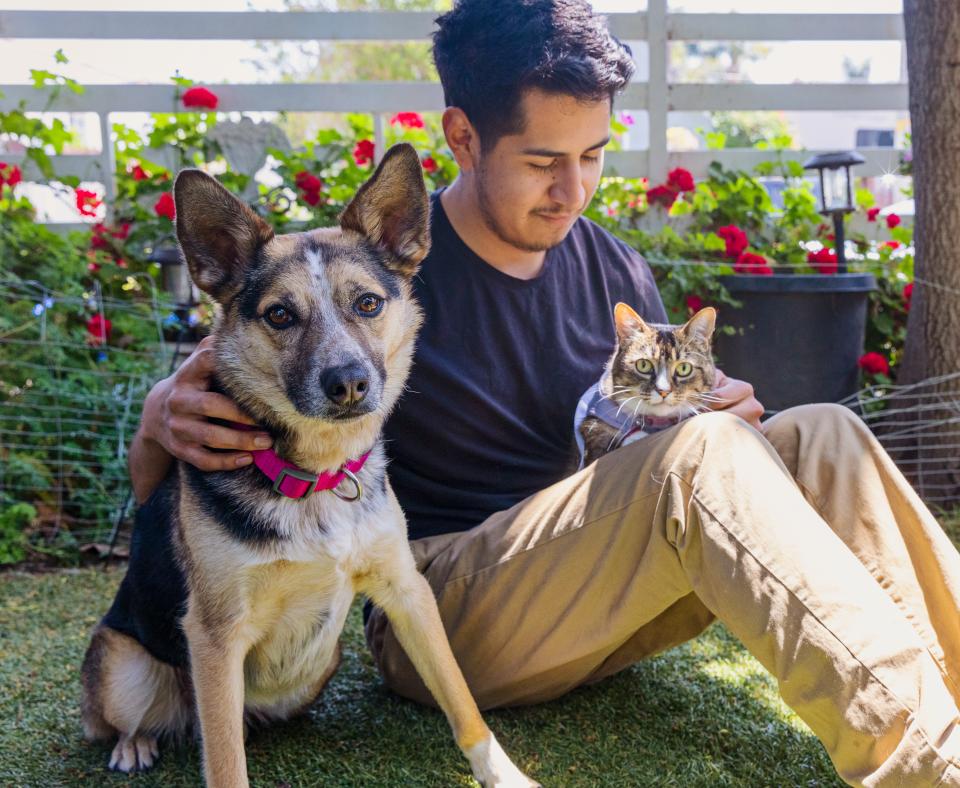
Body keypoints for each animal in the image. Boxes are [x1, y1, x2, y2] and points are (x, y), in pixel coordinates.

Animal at [79, 143, 536, 788]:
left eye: (367, 303)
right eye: (279, 315)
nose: (347, 384)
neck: (317, 473)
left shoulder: (407, 590)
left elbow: (462, 700)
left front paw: (504, 773)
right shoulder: (215, 635)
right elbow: (226, 765)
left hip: (318, 664)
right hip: (125, 666)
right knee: (125, 717)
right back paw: (134, 745)